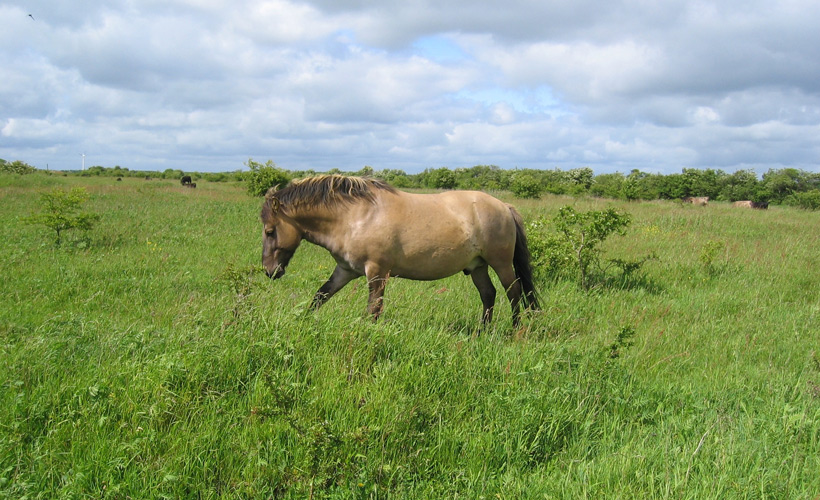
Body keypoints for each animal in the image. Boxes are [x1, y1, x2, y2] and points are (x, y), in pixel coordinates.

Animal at [260, 175, 539, 327]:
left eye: (270, 231)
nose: (270, 271)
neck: (356, 216)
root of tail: (504, 206)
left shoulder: (377, 272)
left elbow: (373, 310)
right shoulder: (345, 270)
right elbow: (320, 296)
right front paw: (302, 323)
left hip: (500, 263)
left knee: (513, 293)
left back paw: (512, 331)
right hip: (477, 266)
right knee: (488, 294)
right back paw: (482, 332)